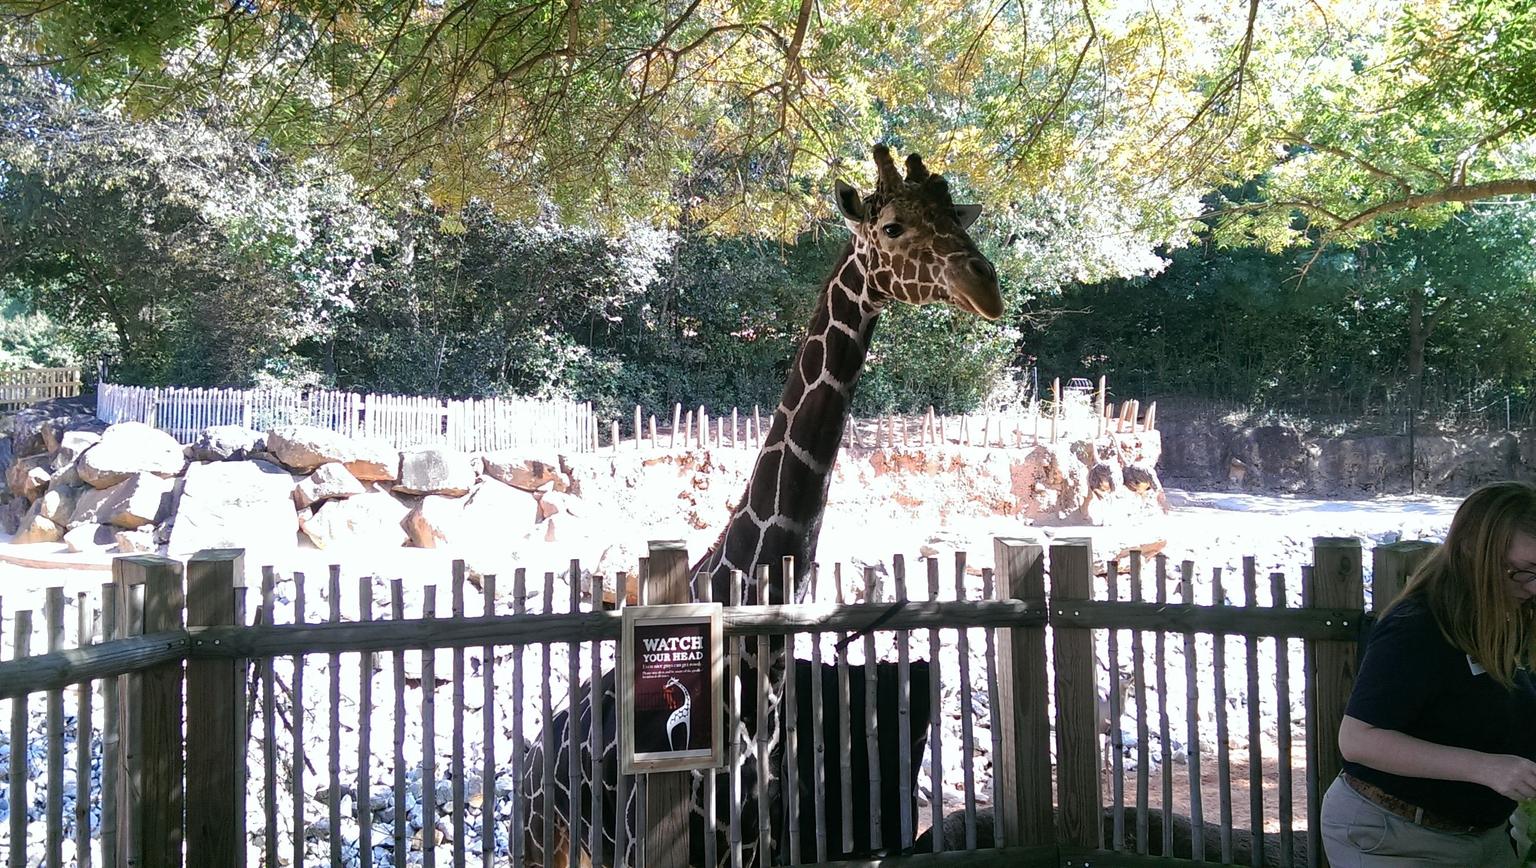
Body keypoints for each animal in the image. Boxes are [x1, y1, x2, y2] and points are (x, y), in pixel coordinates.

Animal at [522, 145, 1001, 860]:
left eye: (954, 214)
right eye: (891, 227)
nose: (986, 286)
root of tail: (540, 741)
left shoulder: (754, 843)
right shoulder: (655, 844)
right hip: (538, 833)